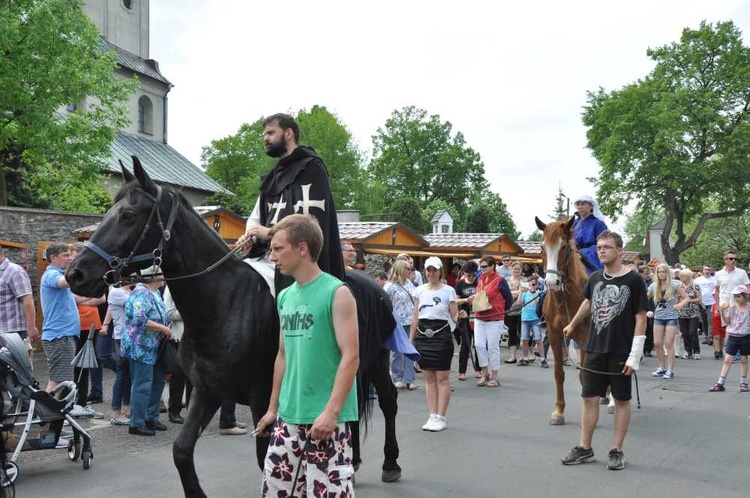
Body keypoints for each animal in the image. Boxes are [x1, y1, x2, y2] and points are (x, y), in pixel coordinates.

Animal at [67, 158, 402, 496]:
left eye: (128, 216)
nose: (75, 274)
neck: (223, 306)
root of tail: (374, 286)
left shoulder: (263, 397)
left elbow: (264, 459)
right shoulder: (207, 390)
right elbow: (181, 450)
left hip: (374, 361)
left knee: (387, 400)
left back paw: (390, 463)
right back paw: (353, 464)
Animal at [536, 216, 592, 426]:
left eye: (563, 247)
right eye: (542, 247)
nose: (551, 283)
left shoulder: (584, 338)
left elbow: (584, 375)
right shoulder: (555, 335)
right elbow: (559, 374)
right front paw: (559, 411)